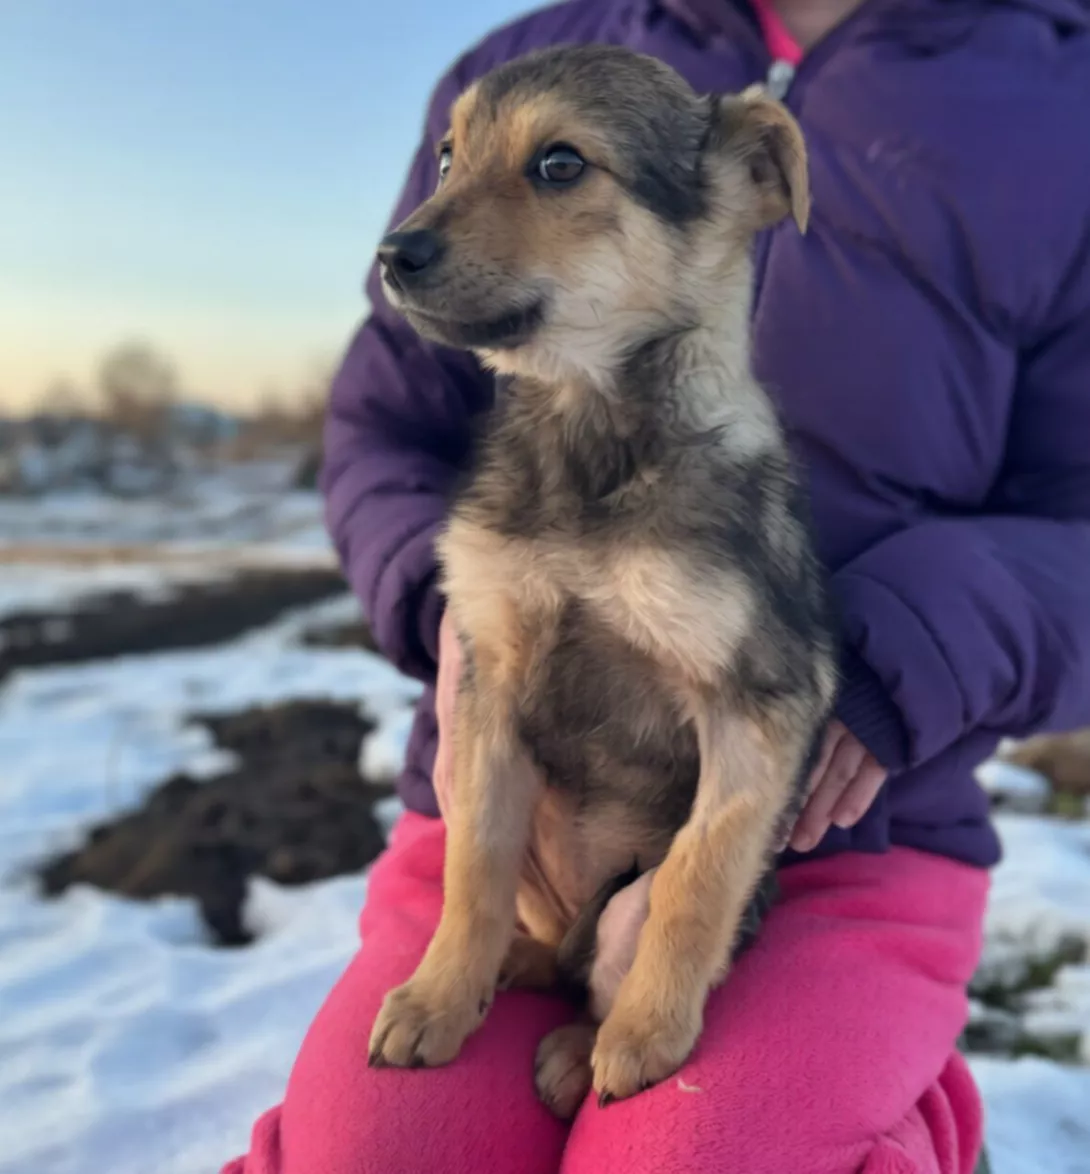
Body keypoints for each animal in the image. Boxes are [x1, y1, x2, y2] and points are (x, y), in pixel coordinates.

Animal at [367, 43, 837, 1117]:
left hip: (626, 903)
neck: (585, 431)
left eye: (560, 165)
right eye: (448, 157)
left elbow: (695, 881)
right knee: (546, 942)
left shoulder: (759, 706)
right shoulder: (489, 683)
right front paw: (438, 995)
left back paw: (582, 1048)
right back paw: (510, 969)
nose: (391, 255)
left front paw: (646, 1041)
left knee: (606, 955)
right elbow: (471, 868)